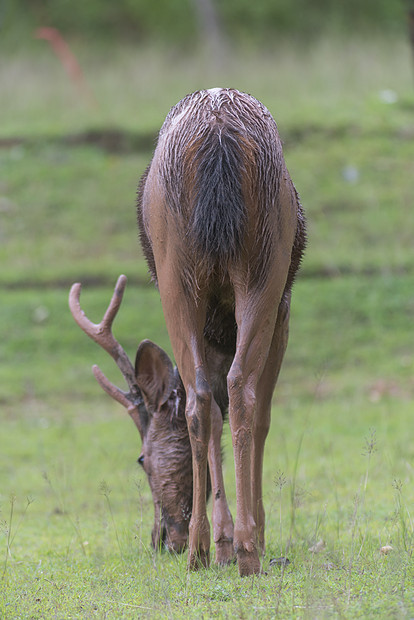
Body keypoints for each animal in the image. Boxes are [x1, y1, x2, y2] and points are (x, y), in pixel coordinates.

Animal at [70, 87, 304, 576]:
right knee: (237, 391)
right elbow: (258, 415)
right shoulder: (283, 309)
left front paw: (223, 541)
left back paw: (205, 547)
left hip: (178, 273)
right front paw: (243, 536)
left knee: (205, 398)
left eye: (140, 458)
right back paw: (243, 548)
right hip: (261, 264)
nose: (161, 539)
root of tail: (217, 133)